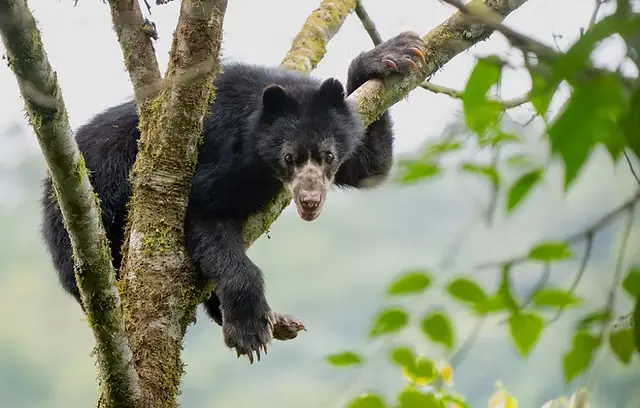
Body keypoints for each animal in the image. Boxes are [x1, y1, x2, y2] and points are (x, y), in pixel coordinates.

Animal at [40, 31, 426, 363]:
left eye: (328, 156)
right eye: (289, 157)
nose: (310, 201)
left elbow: (370, 167)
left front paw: (395, 54)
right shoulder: (221, 155)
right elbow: (205, 212)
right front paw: (249, 331)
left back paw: (277, 321)